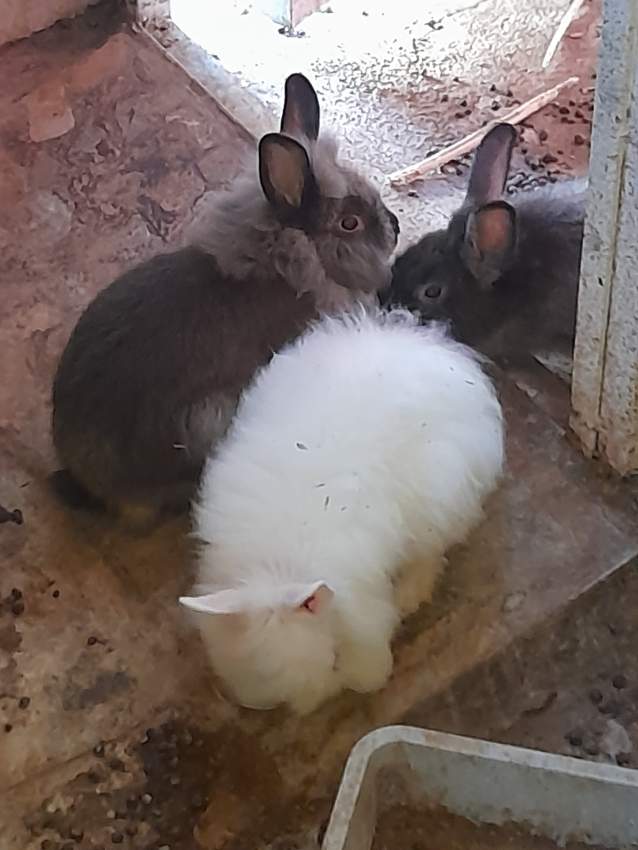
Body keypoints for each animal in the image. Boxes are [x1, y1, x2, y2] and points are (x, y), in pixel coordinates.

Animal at [179, 308, 504, 712]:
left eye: (333, 658)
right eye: (265, 672)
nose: (314, 703)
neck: (277, 568)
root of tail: (430, 349)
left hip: (442, 493)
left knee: (431, 552)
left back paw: (408, 596)